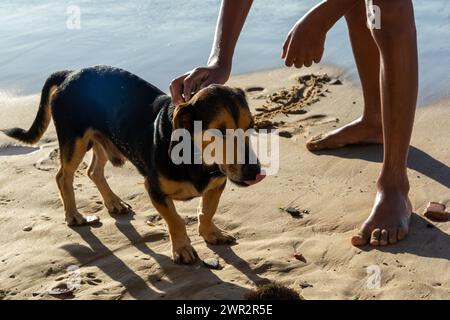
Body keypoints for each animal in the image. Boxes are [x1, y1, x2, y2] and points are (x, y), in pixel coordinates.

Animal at [1, 65, 266, 264]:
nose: (255, 173)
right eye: (218, 131)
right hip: (73, 141)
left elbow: (207, 211)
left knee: (93, 171)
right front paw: (182, 249)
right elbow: (176, 221)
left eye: (250, 126)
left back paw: (114, 203)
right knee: (62, 176)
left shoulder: (216, 183)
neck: (197, 158)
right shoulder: (154, 190)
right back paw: (74, 215)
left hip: (102, 140)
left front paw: (211, 234)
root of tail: (71, 73)